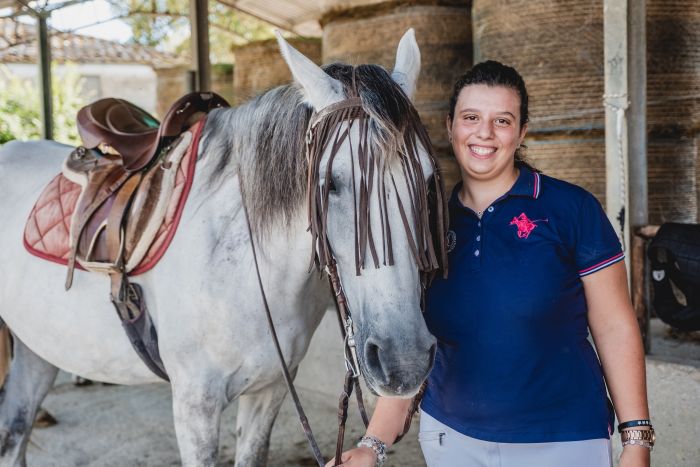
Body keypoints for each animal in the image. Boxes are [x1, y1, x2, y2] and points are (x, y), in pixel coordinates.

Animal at [0, 31, 442, 466]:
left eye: (426, 179)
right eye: (331, 183)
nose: (406, 361)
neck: (249, 272)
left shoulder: (269, 391)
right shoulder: (195, 406)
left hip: (39, 347)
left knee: (15, 431)